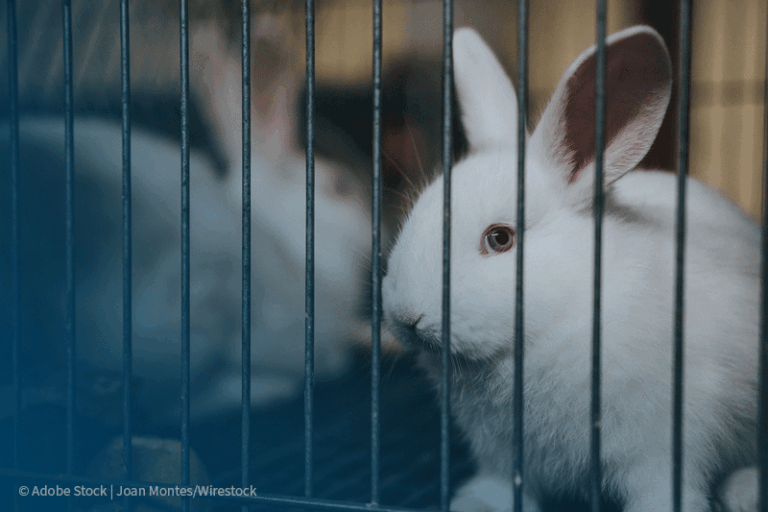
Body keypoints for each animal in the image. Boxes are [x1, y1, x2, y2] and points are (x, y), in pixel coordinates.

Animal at [381, 26, 759, 512]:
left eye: (500, 238)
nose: (407, 316)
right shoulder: (502, 452)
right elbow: (502, 484)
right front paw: (480, 503)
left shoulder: (661, 447)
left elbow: (662, 489)